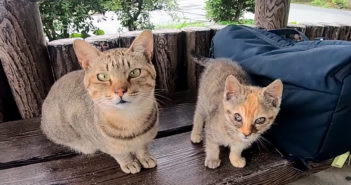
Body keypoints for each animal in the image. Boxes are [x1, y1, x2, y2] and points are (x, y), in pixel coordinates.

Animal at [40, 30, 159, 173]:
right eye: (102, 76)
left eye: (135, 72)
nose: (120, 91)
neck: (130, 120)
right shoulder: (105, 144)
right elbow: (120, 154)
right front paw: (129, 162)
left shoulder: (144, 140)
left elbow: (142, 147)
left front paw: (145, 157)